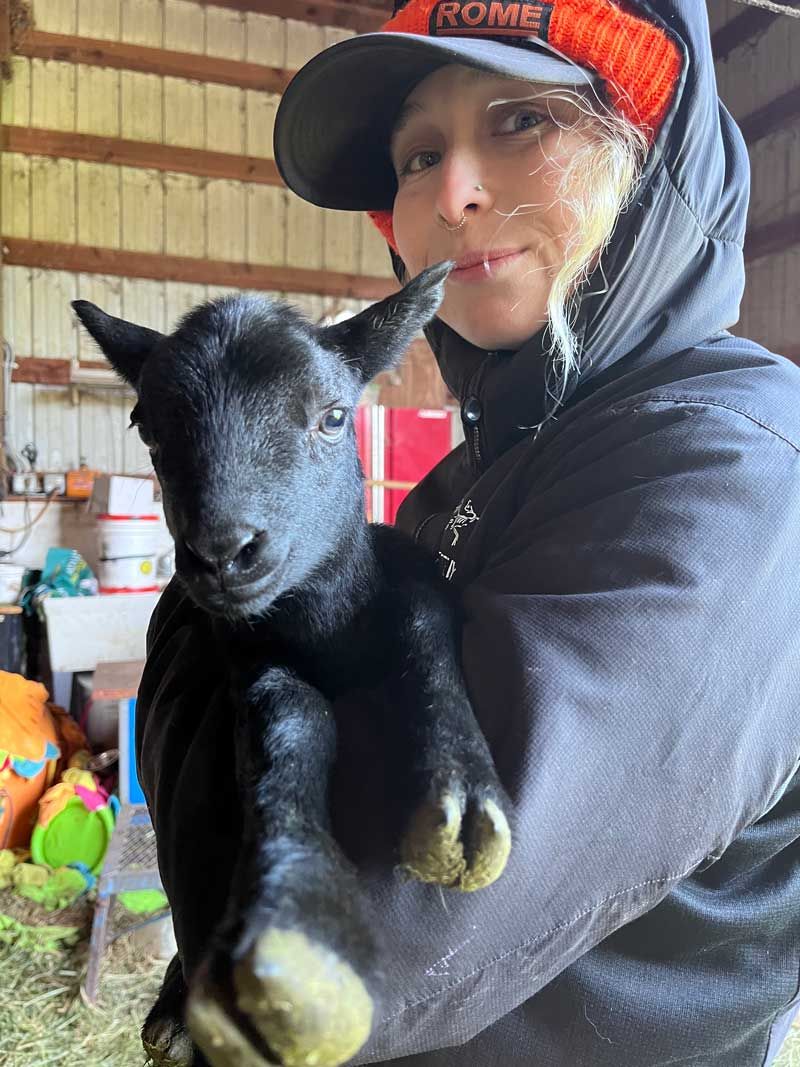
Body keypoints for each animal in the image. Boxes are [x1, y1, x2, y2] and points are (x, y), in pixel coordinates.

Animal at [73, 262, 512, 1067]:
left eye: (334, 418)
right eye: (147, 427)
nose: (223, 552)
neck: (320, 629)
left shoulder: (404, 584)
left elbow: (422, 621)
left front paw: (459, 793)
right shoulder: (248, 659)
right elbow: (289, 716)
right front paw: (296, 922)